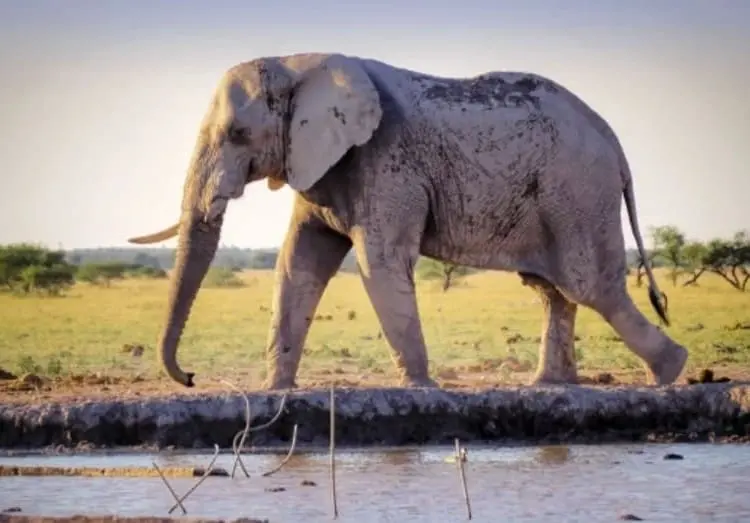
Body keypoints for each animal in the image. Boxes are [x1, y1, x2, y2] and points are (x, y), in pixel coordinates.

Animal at [128, 52, 688, 390]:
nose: (192, 378)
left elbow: (380, 262)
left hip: (576, 191)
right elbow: (297, 264)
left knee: (590, 286)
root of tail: (612, 139)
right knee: (554, 290)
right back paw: (550, 386)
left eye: (239, 134)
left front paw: (421, 388)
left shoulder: (385, 160)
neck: (297, 62)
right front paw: (276, 391)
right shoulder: (323, 164)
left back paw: (670, 372)